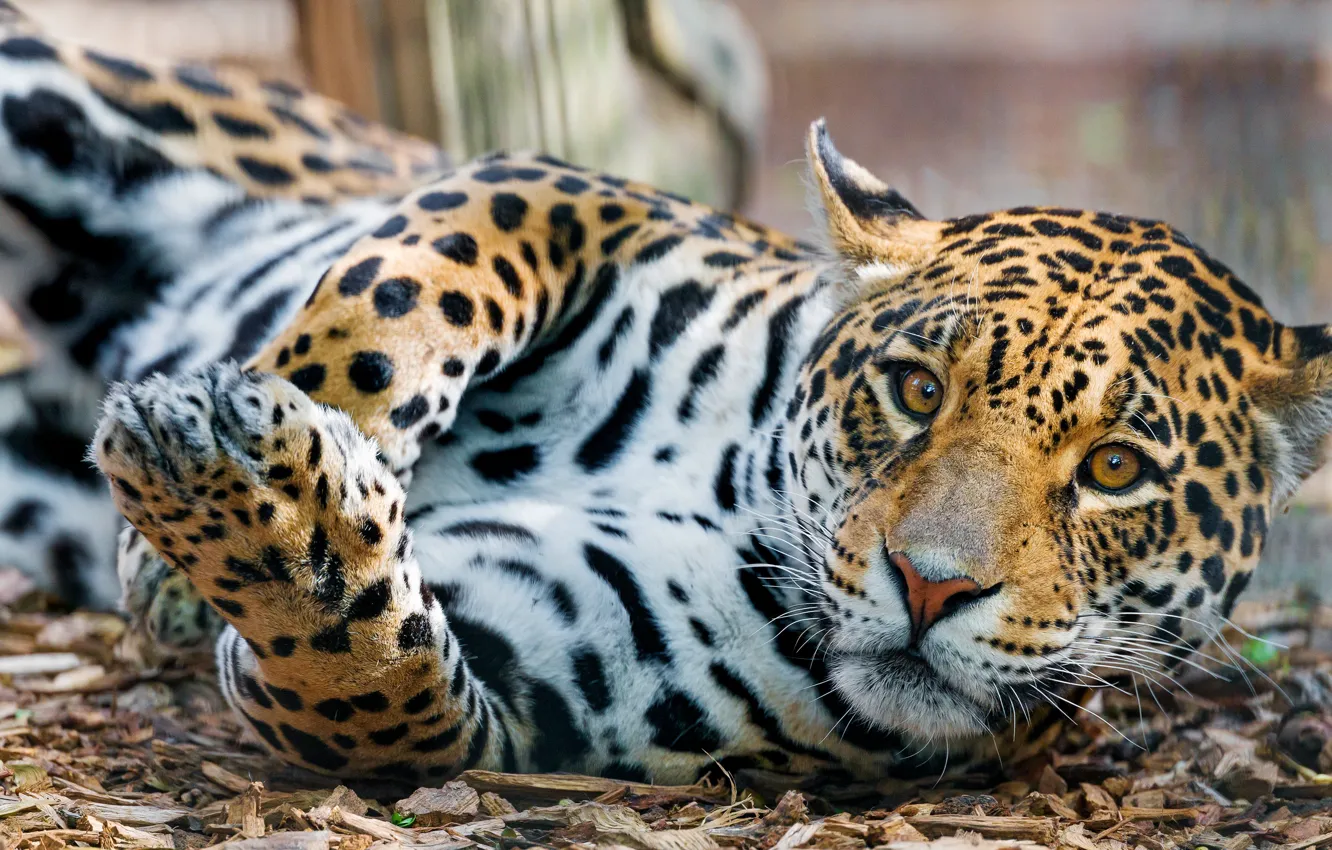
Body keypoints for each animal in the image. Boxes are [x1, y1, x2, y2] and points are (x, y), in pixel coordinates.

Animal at [6, 1, 1332, 786]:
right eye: (915, 389)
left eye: (1115, 470)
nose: (930, 586)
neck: (743, 491)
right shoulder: (564, 192)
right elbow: (401, 304)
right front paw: (182, 542)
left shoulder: (522, 693)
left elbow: (373, 667)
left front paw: (258, 519)